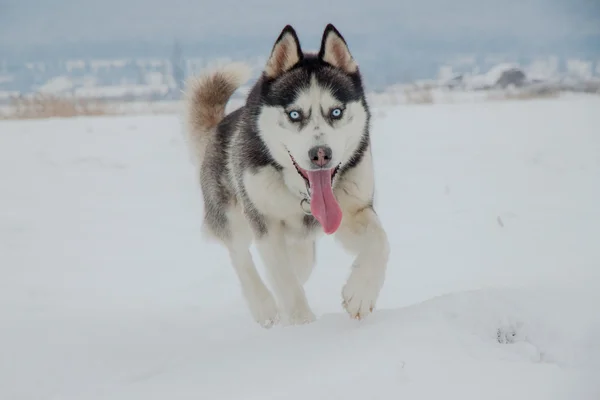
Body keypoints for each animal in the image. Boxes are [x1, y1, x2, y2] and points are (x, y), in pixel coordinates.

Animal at [185, 23, 390, 326]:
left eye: (336, 112)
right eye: (294, 114)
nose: (321, 154)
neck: (301, 194)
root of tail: (219, 126)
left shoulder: (352, 211)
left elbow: (381, 243)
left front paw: (360, 293)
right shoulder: (265, 223)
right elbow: (283, 278)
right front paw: (302, 323)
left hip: (302, 245)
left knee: (298, 266)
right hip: (232, 217)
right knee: (241, 257)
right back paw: (264, 307)